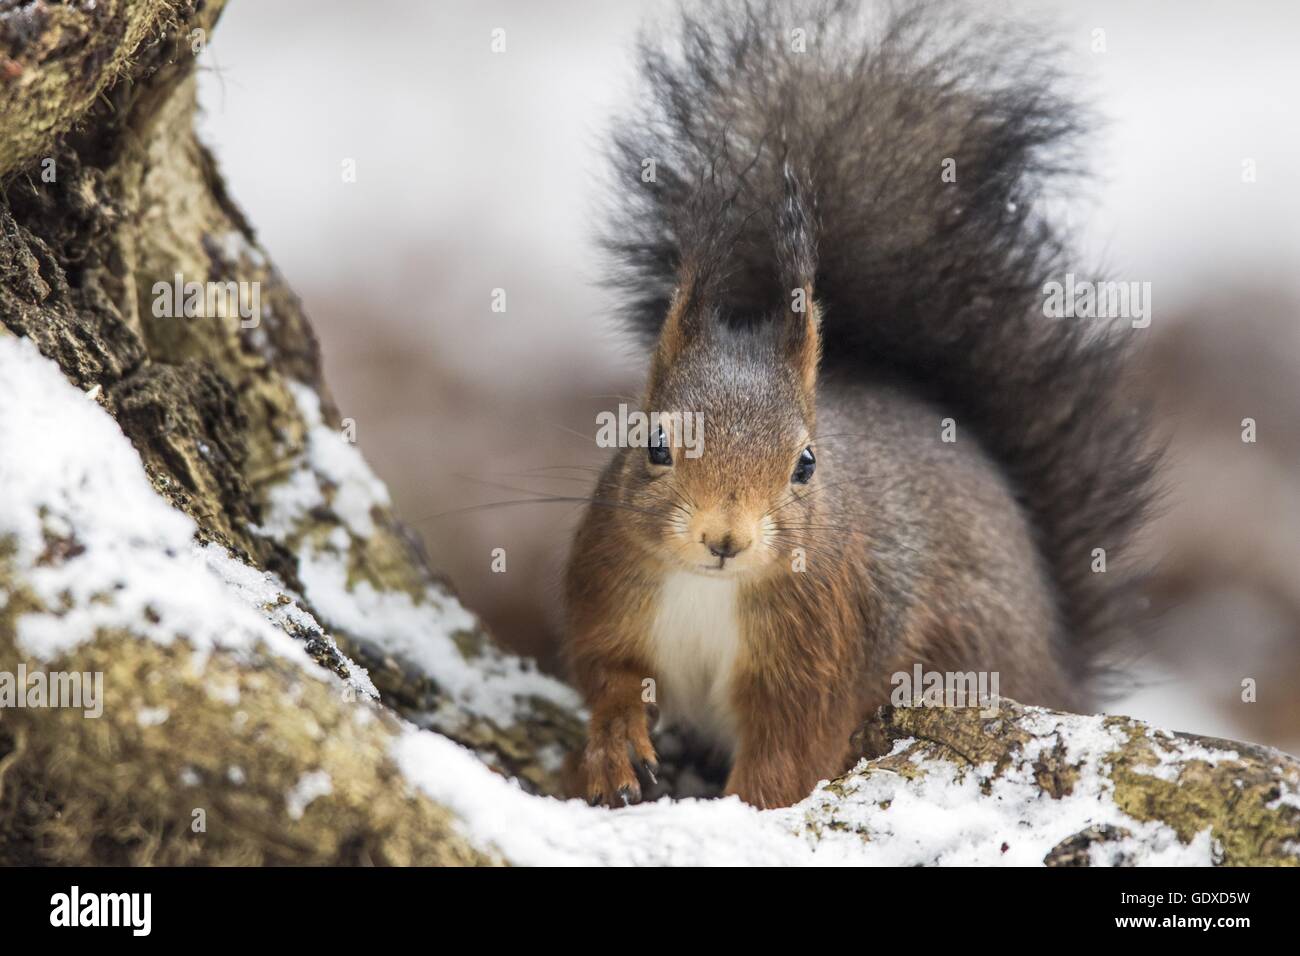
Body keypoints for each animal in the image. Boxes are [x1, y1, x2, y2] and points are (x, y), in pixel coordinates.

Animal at [563, 0, 1156, 809]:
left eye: (806, 464)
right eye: (654, 444)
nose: (725, 539)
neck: (709, 590)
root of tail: (1061, 669)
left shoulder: (821, 653)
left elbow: (788, 757)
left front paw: (744, 814)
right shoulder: (609, 588)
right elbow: (609, 675)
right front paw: (616, 748)